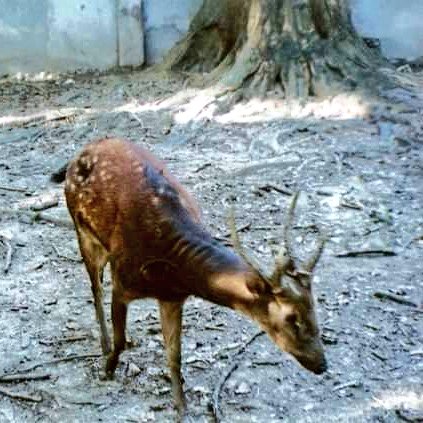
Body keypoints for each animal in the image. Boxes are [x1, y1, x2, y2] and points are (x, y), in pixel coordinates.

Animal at [52, 138, 328, 418]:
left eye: (314, 308)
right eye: (291, 318)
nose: (322, 364)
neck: (172, 264)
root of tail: (82, 151)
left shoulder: (172, 297)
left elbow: (175, 356)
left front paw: (181, 406)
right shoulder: (122, 282)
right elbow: (120, 339)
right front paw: (107, 370)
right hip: (82, 230)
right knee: (95, 287)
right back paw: (104, 343)